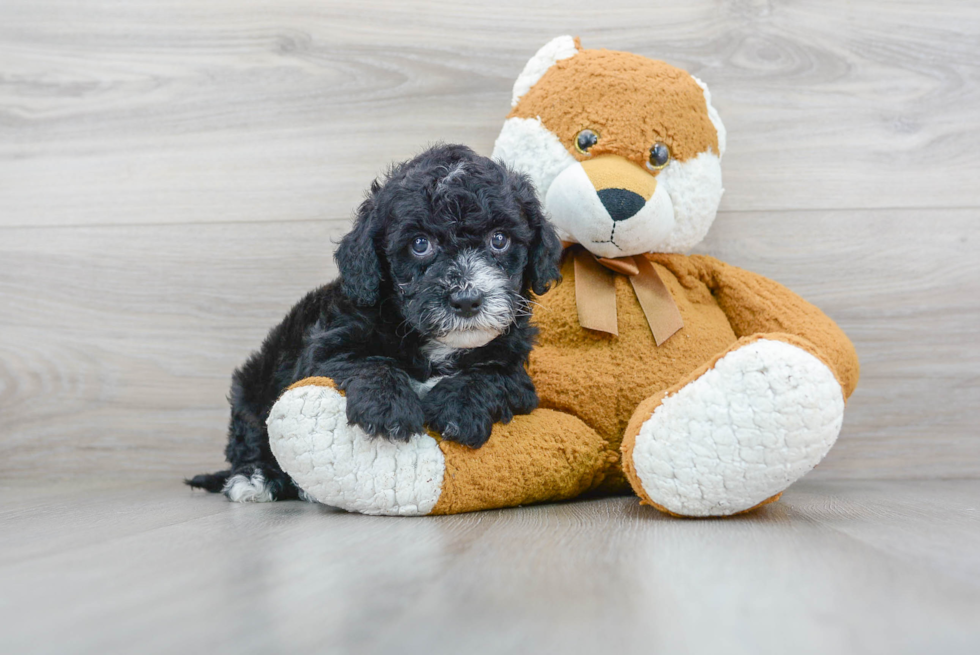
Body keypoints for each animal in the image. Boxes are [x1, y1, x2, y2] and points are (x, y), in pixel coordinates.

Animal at [188, 144, 564, 502]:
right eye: (420, 244)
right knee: (251, 438)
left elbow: (494, 375)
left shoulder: (518, 372)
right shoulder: (327, 348)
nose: (467, 300)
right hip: (253, 385)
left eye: (499, 239)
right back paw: (257, 478)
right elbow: (367, 362)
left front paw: (460, 407)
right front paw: (389, 408)